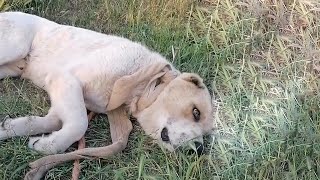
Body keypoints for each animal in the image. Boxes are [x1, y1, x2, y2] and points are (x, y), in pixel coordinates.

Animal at [0, 11, 215, 162]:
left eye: (206, 135)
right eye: (196, 112)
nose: (199, 150)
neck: (137, 77)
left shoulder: (62, 96)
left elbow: (46, 122)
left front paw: (11, 129)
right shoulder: (65, 79)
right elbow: (79, 124)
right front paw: (50, 146)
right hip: (16, 45)